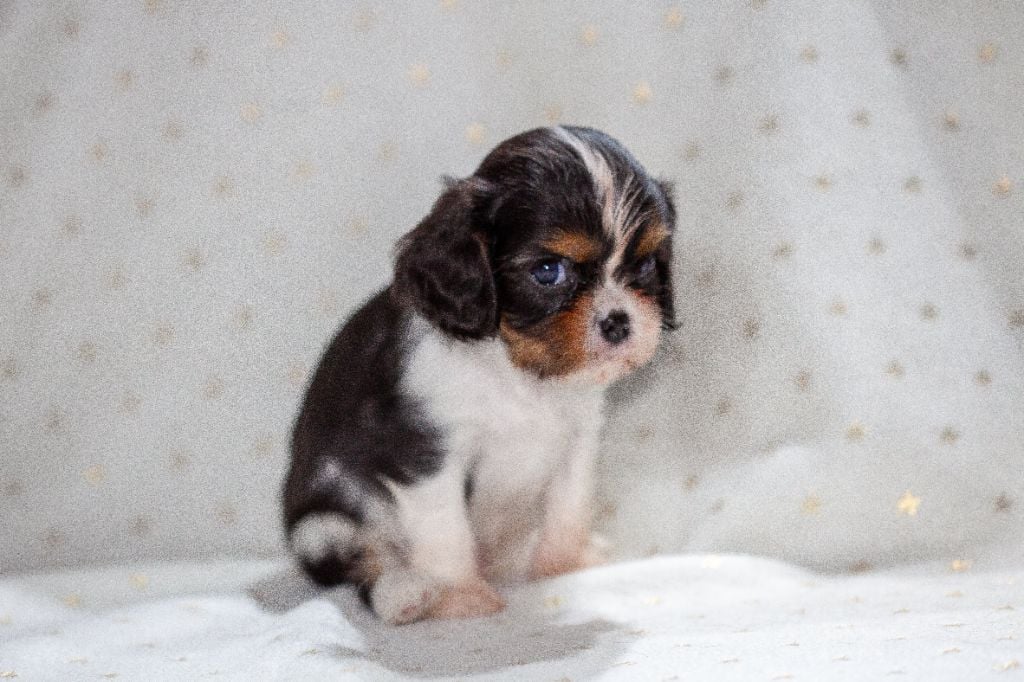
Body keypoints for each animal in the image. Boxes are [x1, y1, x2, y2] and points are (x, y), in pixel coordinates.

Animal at [284, 123, 675, 622]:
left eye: (644, 265)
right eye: (548, 271)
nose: (619, 321)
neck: (517, 369)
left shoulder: (578, 439)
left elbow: (569, 505)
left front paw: (563, 563)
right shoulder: (426, 452)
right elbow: (444, 530)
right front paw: (459, 595)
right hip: (321, 525)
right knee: (362, 562)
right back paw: (404, 592)